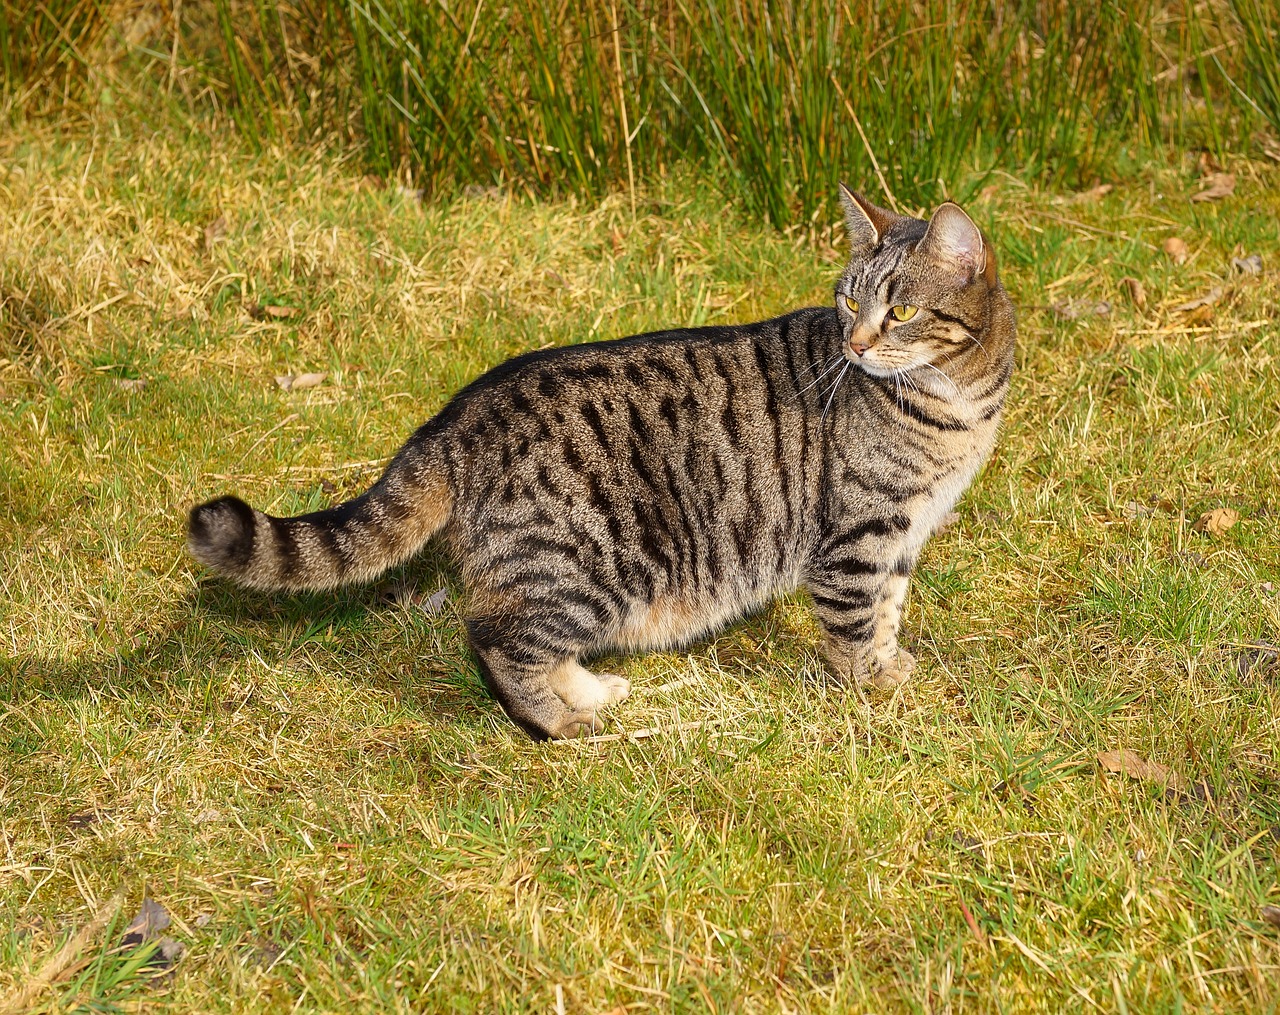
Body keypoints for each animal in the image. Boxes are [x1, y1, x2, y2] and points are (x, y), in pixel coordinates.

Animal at [185, 185, 1013, 737]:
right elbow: (853, 624)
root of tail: (458, 414)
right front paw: (869, 690)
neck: (957, 405)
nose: (856, 343)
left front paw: (890, 664)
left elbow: (889, 609)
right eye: (847, 302)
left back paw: (585, 692)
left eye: (899, 310)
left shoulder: (903, 534)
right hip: (591, 563)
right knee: (494, 636)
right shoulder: (858, 537)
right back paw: (557, 722)